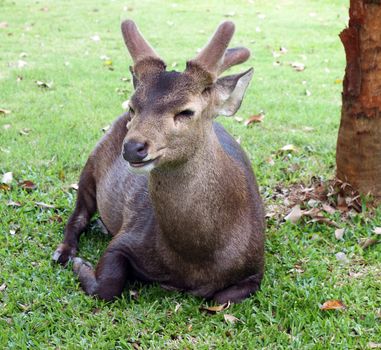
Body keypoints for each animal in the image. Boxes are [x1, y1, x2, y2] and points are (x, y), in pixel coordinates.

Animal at [52, 19, 262, 304]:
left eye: (186, 111)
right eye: (132, 106)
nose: (132, 147)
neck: (195, 260)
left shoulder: (256, 267)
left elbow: (221, 297)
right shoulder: (129, 236)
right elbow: (107, 286)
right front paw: (81, 265)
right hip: (91, 163)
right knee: (79, 214)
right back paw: (65, 252)